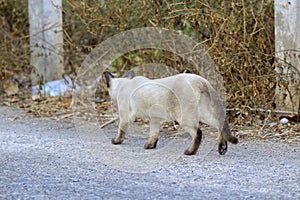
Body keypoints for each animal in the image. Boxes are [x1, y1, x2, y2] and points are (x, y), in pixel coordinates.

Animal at [104, 71, 238, 155]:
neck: (123, 84)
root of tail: (199, 79)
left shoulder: (125, 116)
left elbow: (121, 131)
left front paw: (116, 141)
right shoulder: (154, 118)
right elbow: (154, 133)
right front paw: (150, 146)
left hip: (183, 118)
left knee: (198, 133)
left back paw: (190, 152)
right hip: (203, 114)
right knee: (219, 124)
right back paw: (222, 148)